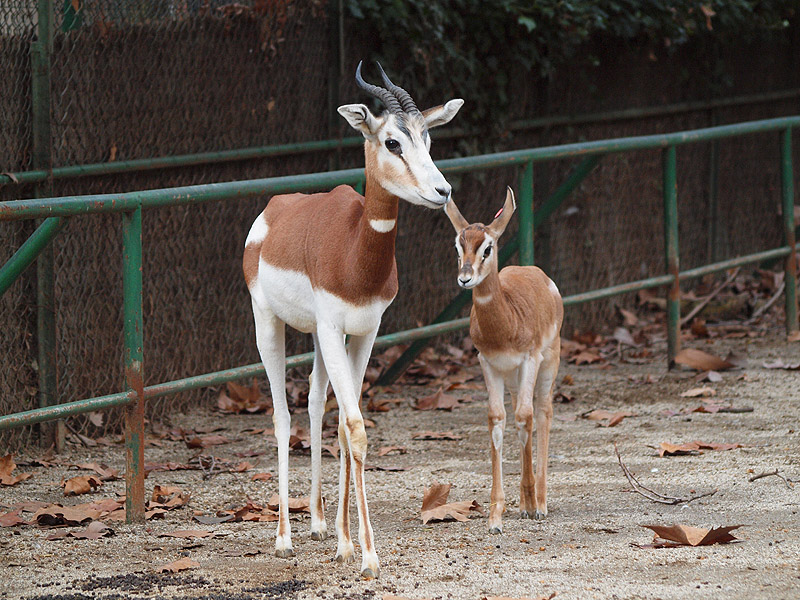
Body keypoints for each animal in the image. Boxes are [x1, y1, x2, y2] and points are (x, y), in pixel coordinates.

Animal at [242, 62, 463, 578]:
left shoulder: (364, 331)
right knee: (282, 416)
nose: (443, 190)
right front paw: (367, 556)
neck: (354, 249)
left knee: (315, 406)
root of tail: (274, 209)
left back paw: (319, 523)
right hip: (269, 324)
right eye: (392, 142)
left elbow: (345, 425)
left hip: (319, 339)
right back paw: (283, 538)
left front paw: (343, 542)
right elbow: (356, 428)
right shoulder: (331, 327)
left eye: (429, 139)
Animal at [443, 188, 563, 533]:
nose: (465, 278)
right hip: (511, 377)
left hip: (548, 363)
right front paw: (496, 516)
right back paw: (524, 504)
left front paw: (533, 505)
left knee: (542, 412)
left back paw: (540, 502)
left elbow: (526, 417)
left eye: (488, 247)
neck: (506, 321)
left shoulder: (529, 359)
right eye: (458, 246)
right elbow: (498, 420)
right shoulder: (488, 363)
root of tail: (538, 274)